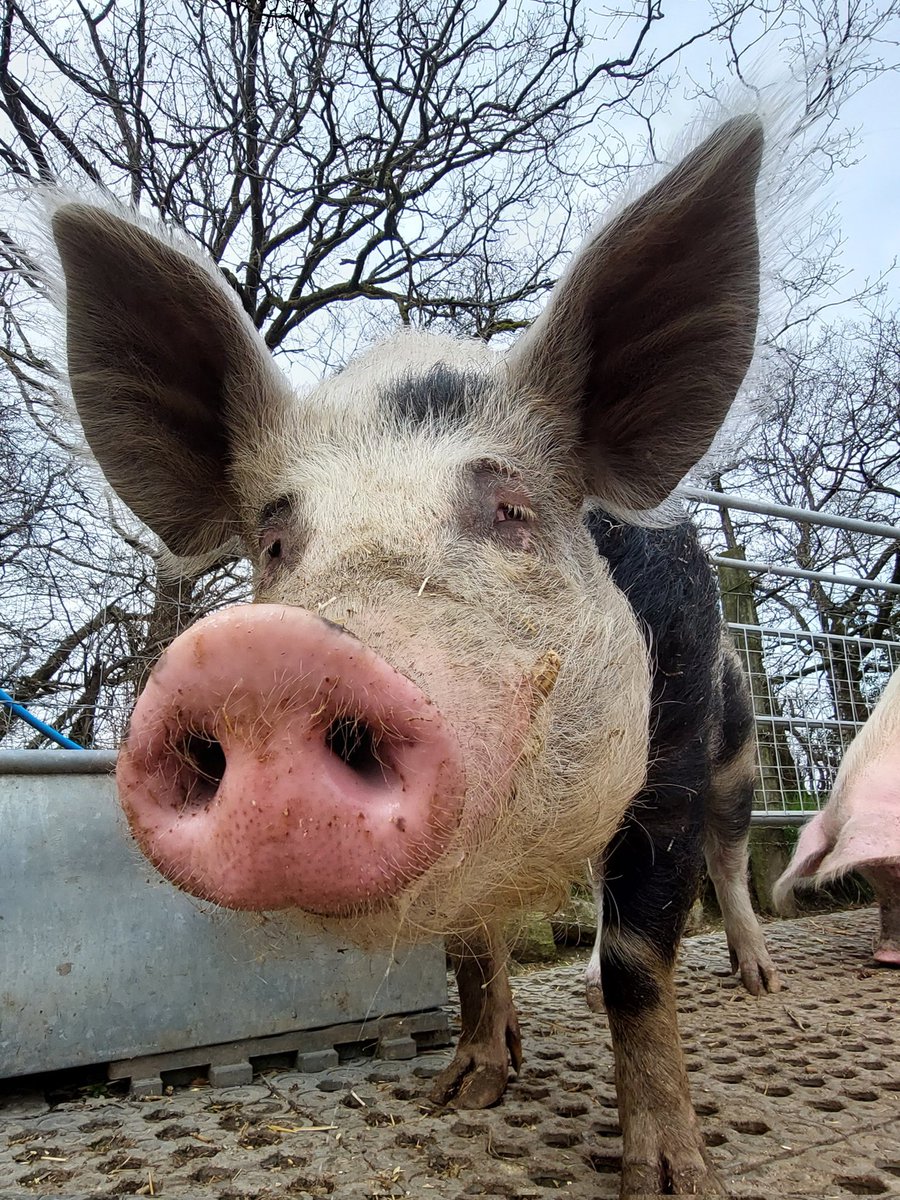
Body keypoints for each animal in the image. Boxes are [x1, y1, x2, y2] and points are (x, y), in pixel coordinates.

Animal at [45, 114, 778, 1196]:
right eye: (274, 540)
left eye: (510, 508)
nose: (263, 658)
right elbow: (470, 948)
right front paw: (463, 1094)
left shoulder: (673, 752)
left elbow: (635, 964)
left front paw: (672, 1180)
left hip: (737, 739)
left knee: (727, 857)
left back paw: (756, 981)